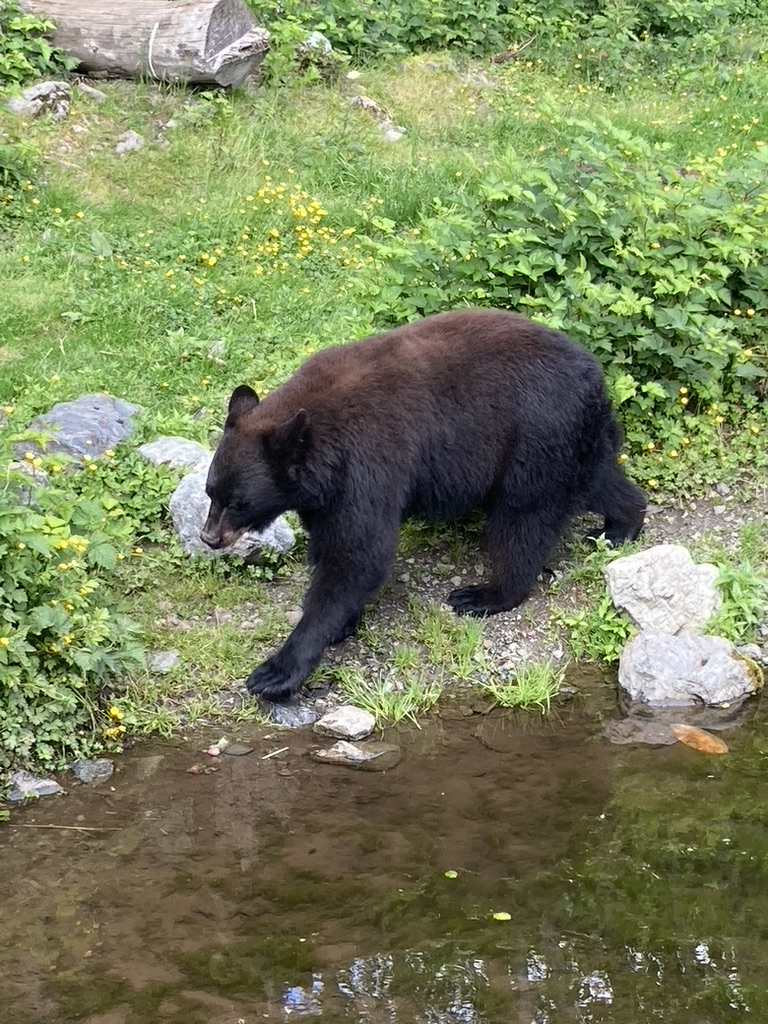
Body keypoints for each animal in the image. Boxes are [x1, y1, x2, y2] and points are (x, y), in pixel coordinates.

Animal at [201, 308, 645, 702]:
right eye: (210, 493)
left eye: (237, 502)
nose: (209, 537)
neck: (318, 444)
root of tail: (595, 374)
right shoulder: (327, 492)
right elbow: (334, 546)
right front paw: (342, 623)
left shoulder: (368, 461)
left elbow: (358, 553)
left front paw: (277, 672)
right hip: (570, 440)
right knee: (596, 479)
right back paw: (621, 524)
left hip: (534, 437)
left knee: (523, 519)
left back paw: (485, 594)